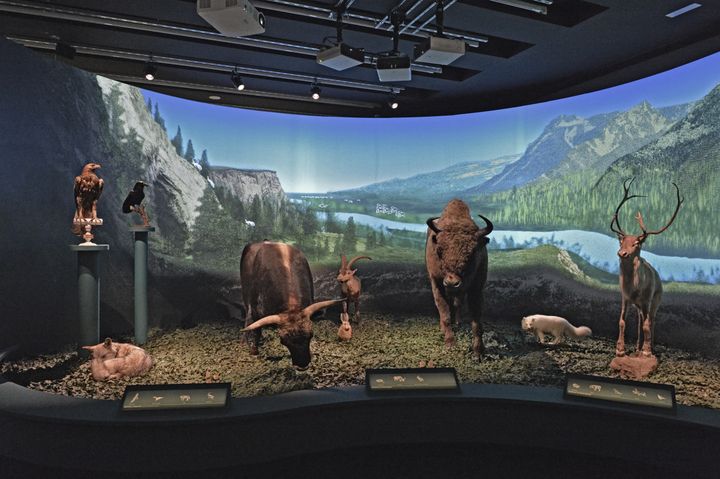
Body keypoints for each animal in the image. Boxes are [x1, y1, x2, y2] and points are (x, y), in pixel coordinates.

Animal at [424, 199, 492, 360]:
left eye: (472, 252)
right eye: (439, 250)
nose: (451, 282)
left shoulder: (476, 288)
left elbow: (476, 320)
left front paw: (479, 352)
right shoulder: (437, 284)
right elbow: (445, 313)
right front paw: (450, 343)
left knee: (457, 303)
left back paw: (458, 322)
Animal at [612, 180, 684, 360]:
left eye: (636, 243)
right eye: (622, 241)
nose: (622, 253)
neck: (633, 287)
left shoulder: (647, 299)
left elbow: (647, 324)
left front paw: (647, 351)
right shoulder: (625, 297)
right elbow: (622, 321)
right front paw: (620, 350)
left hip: (656, 299)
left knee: (651, 320)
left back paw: (649, 348)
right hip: (639, 306)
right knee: (640, 320)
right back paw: (637, 348)